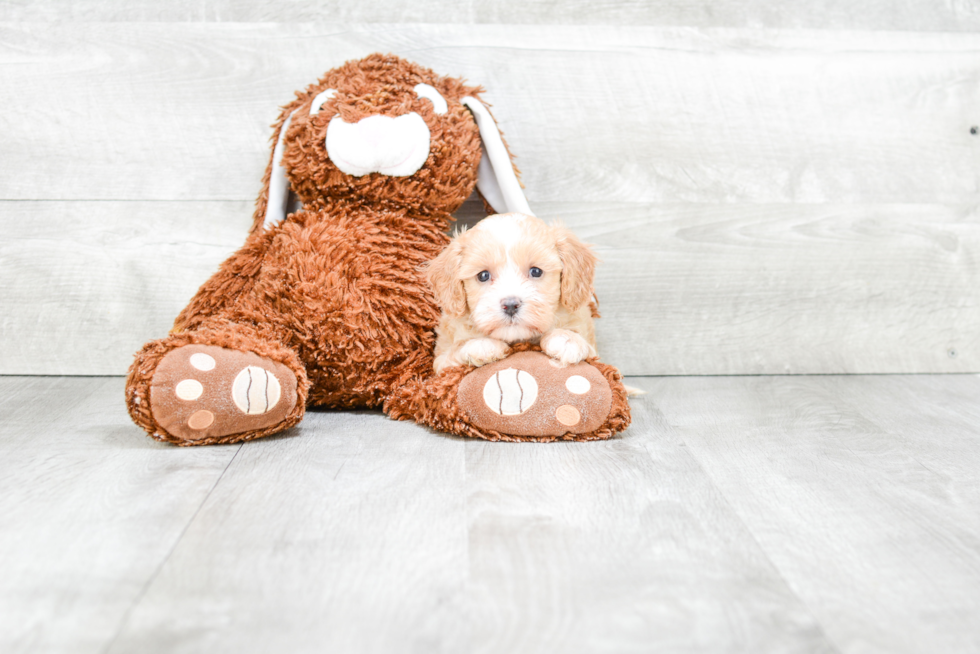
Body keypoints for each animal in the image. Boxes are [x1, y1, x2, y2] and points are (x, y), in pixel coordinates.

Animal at [426, 213, 596, 376]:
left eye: (536, 271)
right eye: (483, 275)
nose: (510, 305)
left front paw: (567, 339)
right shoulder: (442, 362)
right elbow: (453, 353)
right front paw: (481, 344)